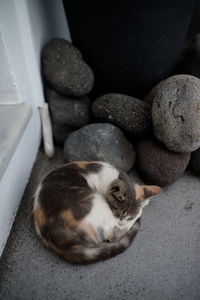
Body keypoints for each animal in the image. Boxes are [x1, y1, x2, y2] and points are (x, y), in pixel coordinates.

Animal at [32, 162, 161, 262]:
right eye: (120, 213)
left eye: (128, 216)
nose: (122, 221)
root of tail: (66, 245)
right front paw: (140, 211)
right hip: (96, 200)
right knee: (113, 235)